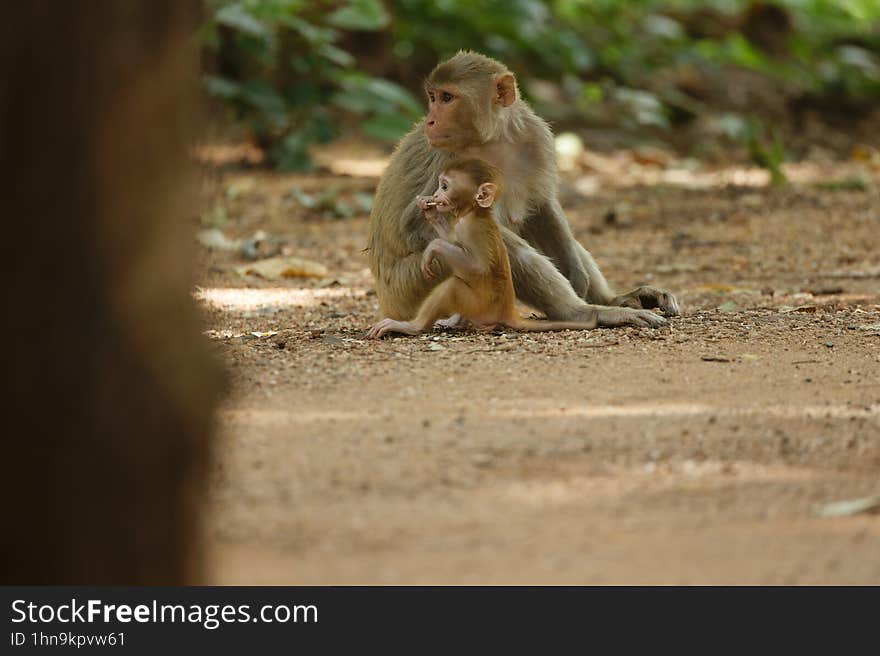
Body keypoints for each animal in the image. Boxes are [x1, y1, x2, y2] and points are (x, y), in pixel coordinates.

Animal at [366, 159, 604, 338]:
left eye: (445, 186)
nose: (435, 196)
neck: (474, 211)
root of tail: (508, 312)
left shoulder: (470, 228)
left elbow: (476, 267)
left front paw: (433, 247)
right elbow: (451, 239)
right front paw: (431, 213)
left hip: (479, 306)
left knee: (453, 286)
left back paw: (413, 327)